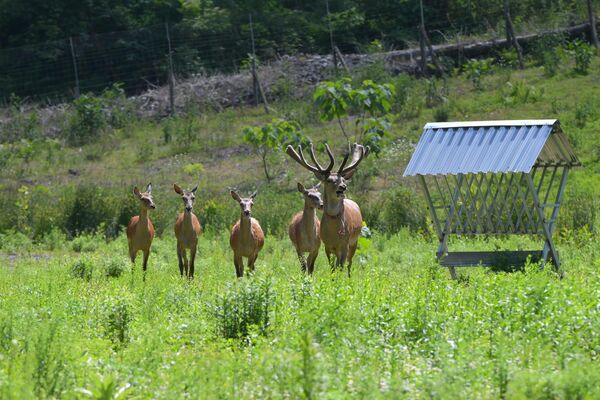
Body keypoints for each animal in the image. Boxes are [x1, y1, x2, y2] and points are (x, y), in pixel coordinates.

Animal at [284, 142, 366, 276]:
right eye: (329, 180)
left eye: (343, 179)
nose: (343, 187)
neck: (334, 233)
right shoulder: (327, 246)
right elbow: (332, 268)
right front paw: (333, 280)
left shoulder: (344, 244)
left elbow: (340, 267)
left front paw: (340, 281)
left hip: (355, 241)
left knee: (349, 263)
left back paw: (349, 278)